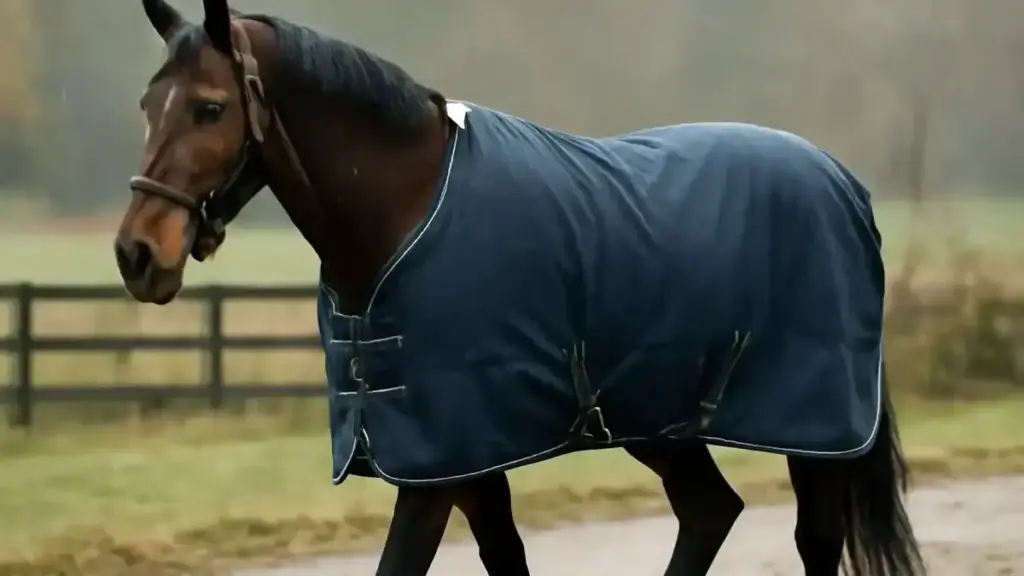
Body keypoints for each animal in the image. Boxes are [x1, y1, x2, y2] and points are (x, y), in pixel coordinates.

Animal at [114, 1, 925, 574]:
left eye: (210, 107)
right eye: (148, 105)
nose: (137, 254)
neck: (404, 212)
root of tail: (843, 183)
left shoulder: (438, 461)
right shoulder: (462, 458)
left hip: (815, 430)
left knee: (811, 538)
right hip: (654, 419)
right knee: (709, 511)